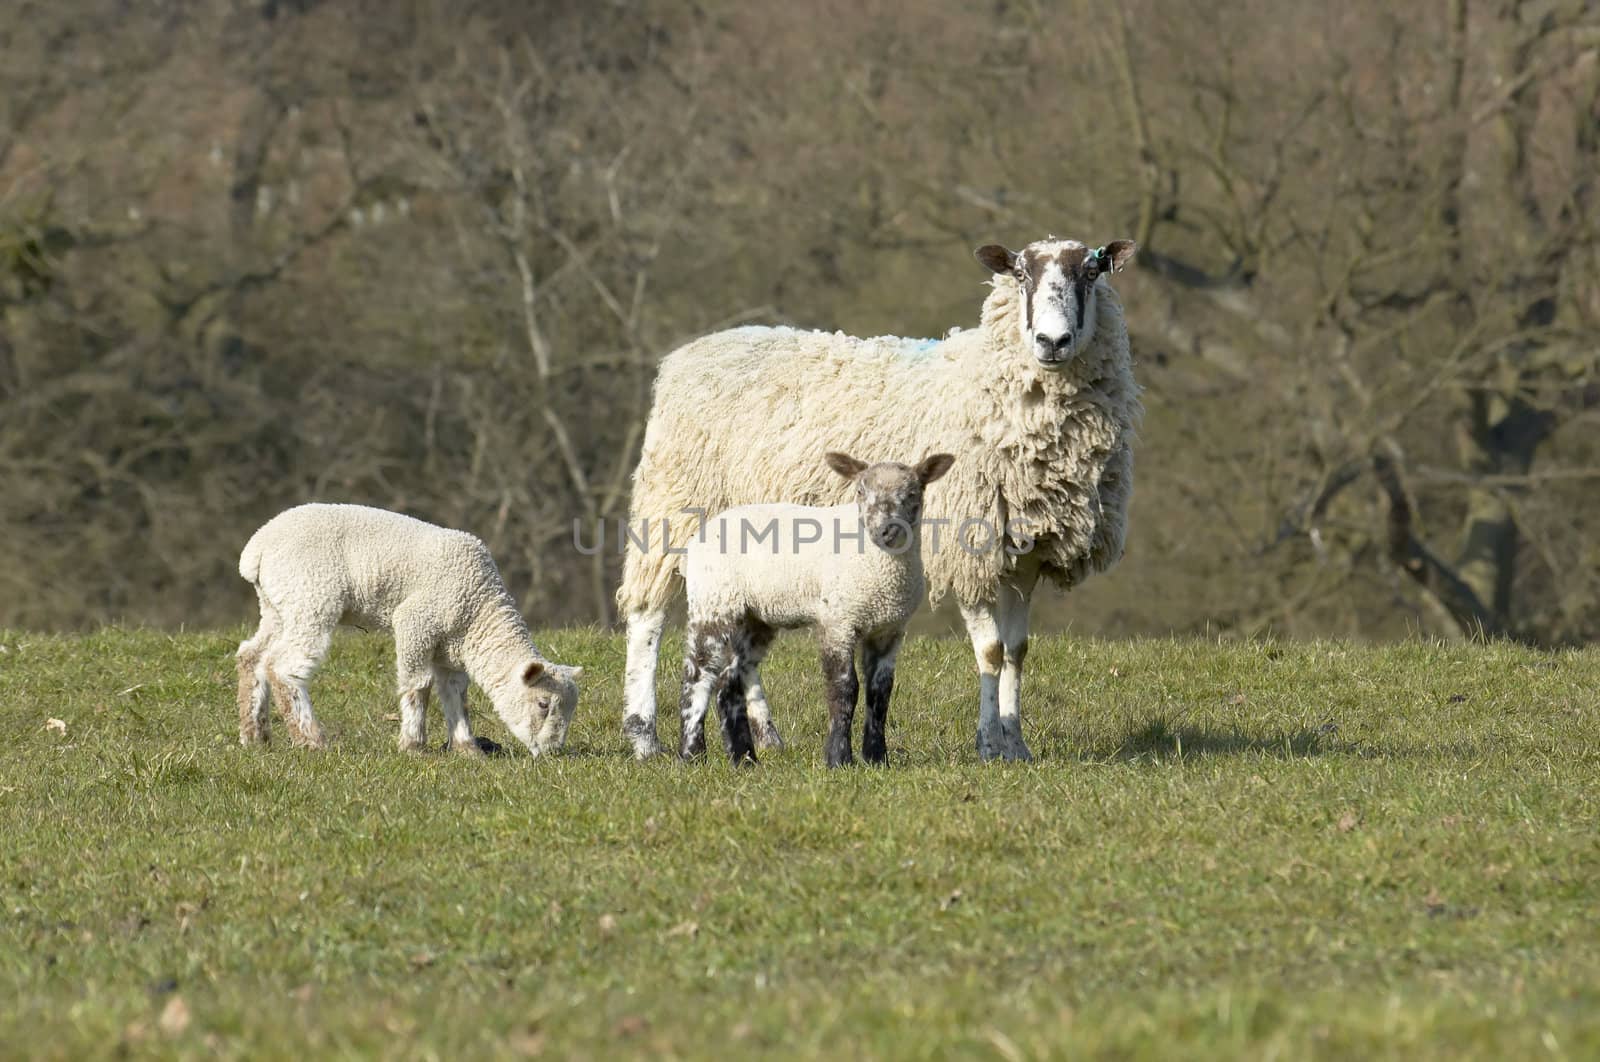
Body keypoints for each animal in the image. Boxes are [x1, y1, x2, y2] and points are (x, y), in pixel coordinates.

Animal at [233, 505, 585, 754]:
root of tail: (257, 548)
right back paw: (311, 739)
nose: (553, 750)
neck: (478, 615)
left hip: (278, 606)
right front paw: (413, 745)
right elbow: (419, 686)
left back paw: (255, 735)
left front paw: (467, 748)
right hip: (311, 598)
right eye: (543, 704)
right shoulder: (416, 623)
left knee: (252, 655)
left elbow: (456, 695)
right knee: (284, 666)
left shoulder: (449, 650)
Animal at [675, 447, 947, 764]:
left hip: (754, 617)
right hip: (713, 600)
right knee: (698, 675)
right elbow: (844, 687)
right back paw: (692, 753)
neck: (881, 567)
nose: (886, 531)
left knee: (728, 683)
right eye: (860, 490)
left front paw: (877, 758)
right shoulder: (838, 620)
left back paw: (744, 759)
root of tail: (696, 540)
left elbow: (880, 692)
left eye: (913, 493)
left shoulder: (889, 629)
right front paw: (838, 758)